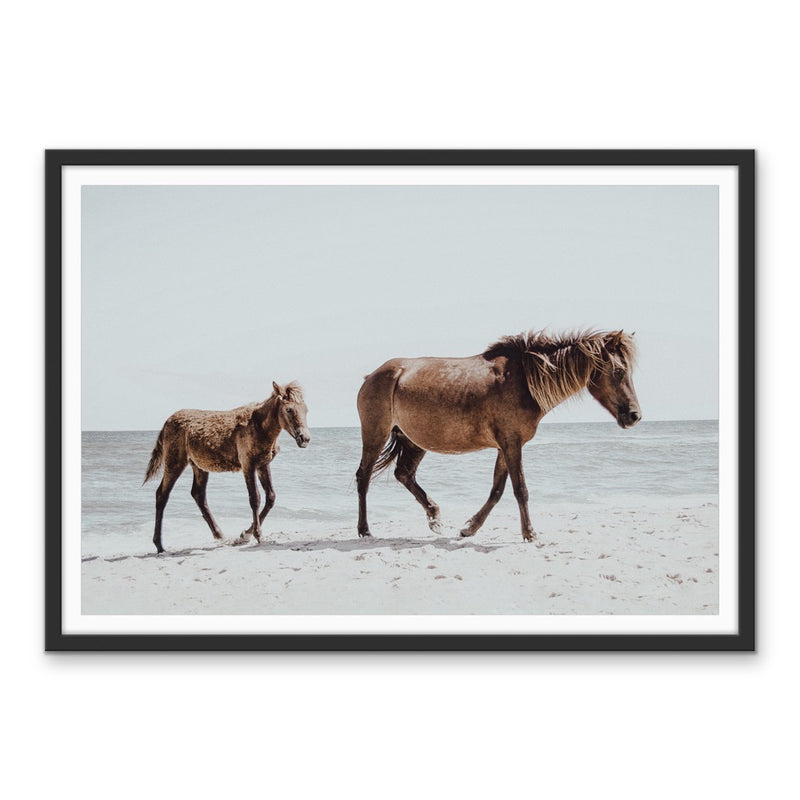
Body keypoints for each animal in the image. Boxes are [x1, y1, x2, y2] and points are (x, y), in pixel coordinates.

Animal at [144, 381, 310, 553]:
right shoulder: (248, 464)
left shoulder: (263, 465)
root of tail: (165, 424)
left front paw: (245, 535)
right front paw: (255, 535)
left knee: (198, 494)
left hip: (199, 466)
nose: (305, 438)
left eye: (306, 409)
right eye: (289, 409)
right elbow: (255, 498)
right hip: (175, 462)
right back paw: (159, 545)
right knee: (162, 494)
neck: (259, 427)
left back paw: (220, 535)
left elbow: (270, 497)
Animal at [355, 330, 641, 542]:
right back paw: (365, 530)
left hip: (413, 441)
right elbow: (520, 489)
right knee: (364, 477)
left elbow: (497, 490)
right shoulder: (512, 444)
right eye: (618, 371)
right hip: (375, 434)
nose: (634, 415)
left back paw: (434, 517)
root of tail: (373, 376)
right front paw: (529, 533)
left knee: (404, 474)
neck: (524, 381)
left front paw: (469, 528)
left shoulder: (506, 446)